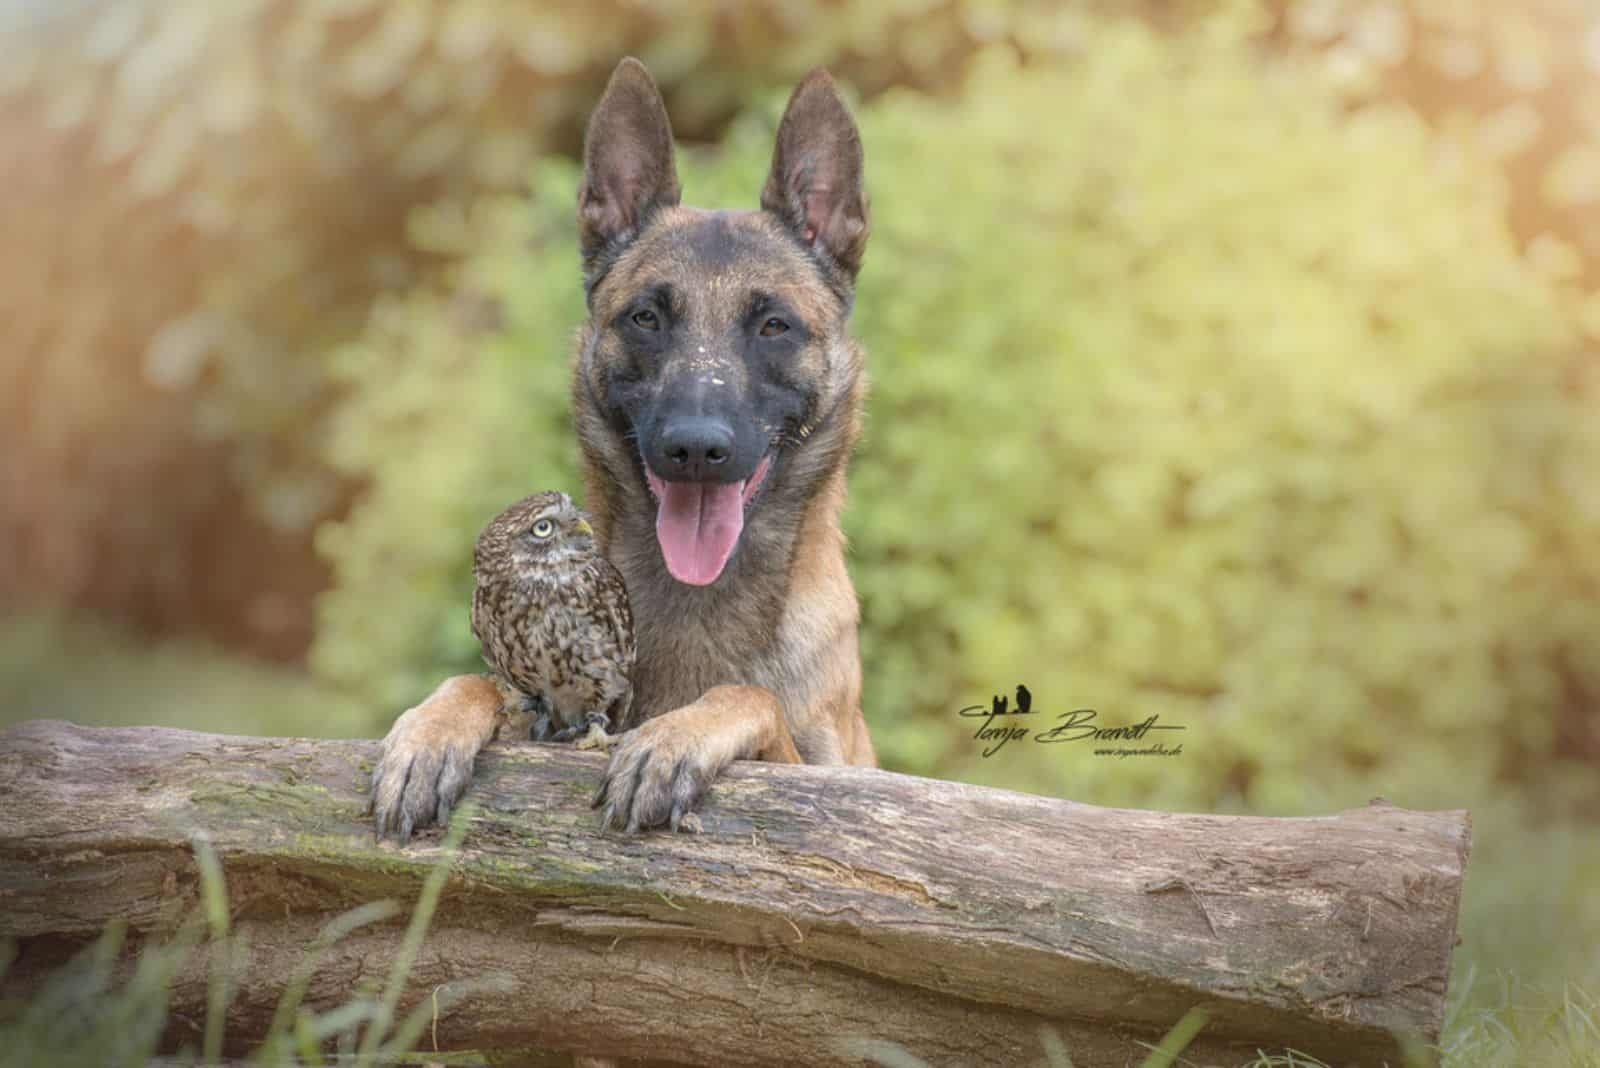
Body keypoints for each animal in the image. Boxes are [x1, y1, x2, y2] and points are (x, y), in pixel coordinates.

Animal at [366, 58, 876, 844]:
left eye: (774, 326)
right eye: (645, 318)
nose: (695, 449)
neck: (696, 602)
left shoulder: (822, 773)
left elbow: (747, 694)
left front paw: (672, 739)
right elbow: (482, 681)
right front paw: (430, 731)